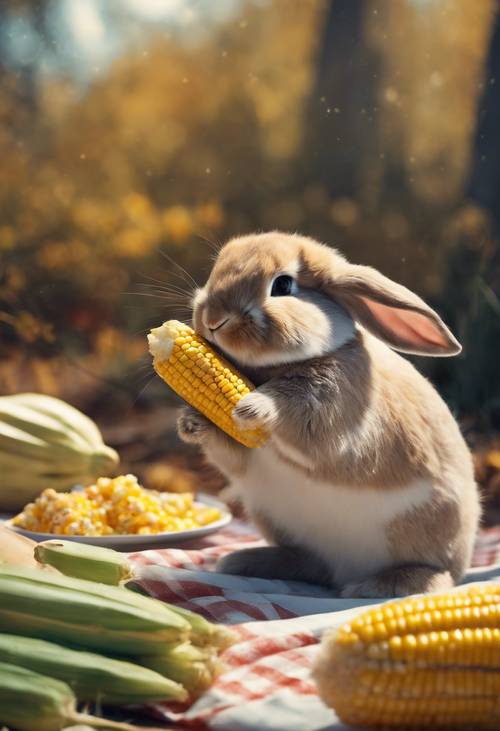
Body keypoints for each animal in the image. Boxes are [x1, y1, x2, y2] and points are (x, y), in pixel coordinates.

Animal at [177, 232, 480, 596]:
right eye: (216, 269)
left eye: (282, 285)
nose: (212, 320)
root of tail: (345, 571)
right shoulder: (245, 453)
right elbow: (232, 454)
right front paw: (191, 422)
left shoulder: (330, 414)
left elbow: (297, 420)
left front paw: (251, 407)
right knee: (312, 565)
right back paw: (244, 562)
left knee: (439, 575)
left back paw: (378, 587)